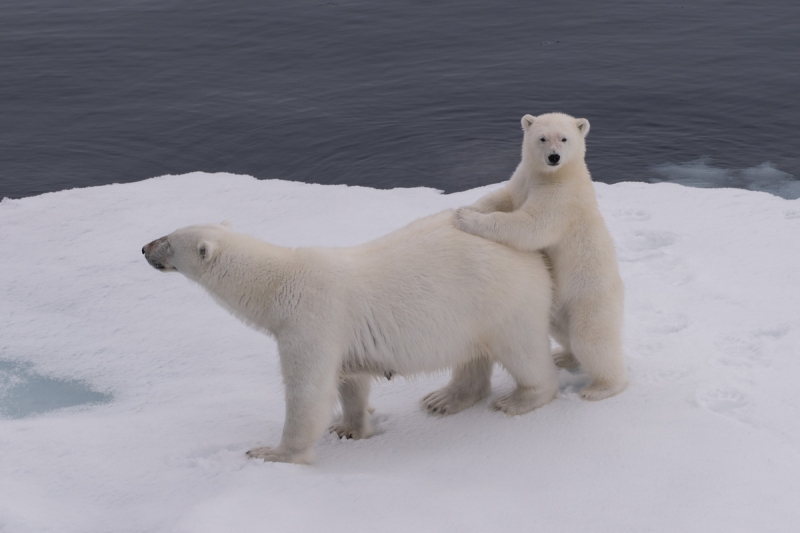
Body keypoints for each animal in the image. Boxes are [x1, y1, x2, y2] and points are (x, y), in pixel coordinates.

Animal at [142, 210, 556, 464]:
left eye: (169, 240)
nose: (144, 248)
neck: (279, 283)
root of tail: (533, 254)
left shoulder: (310, 321)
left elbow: (308, 392)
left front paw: (272, 453)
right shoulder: (340, 336)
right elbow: (349, 380)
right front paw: (349, 427)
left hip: (502, 298)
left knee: (522, 351)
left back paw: (520, 399)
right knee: (472, 353)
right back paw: (444, 399)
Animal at [456, 114, 624, 402]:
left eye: (564, 138)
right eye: (542, 138)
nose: (553, 157)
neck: (555, 175)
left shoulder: (561, 198)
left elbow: (531, 225)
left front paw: (467, 218)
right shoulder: (523, 179)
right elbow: (502, 196)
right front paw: (466, 207)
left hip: (591, 298)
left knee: (591, 340)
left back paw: (600, 388)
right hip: (560, 304)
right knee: (561, 330)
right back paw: (562, 356)